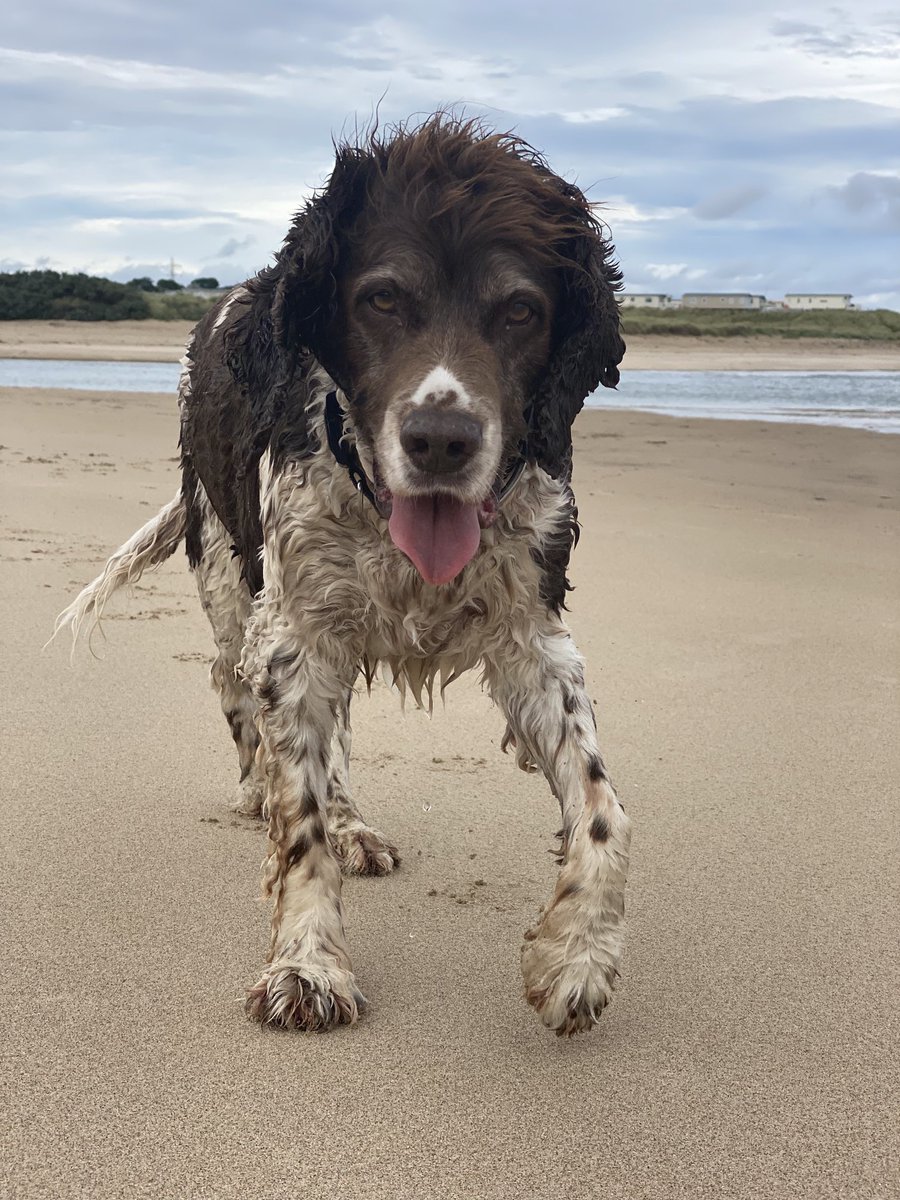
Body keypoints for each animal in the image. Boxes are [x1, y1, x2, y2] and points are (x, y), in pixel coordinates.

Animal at [58, 117, 633, 1036]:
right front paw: (307, 966)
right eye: (382, 299)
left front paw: (576, 960)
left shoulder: (532, 638)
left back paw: (355, 825)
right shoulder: (293, 633)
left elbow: (604, 810)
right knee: (237, 692)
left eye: (521, 310)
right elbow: (299, 824)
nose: (441, 440)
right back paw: (261, 791)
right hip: (232, 571)